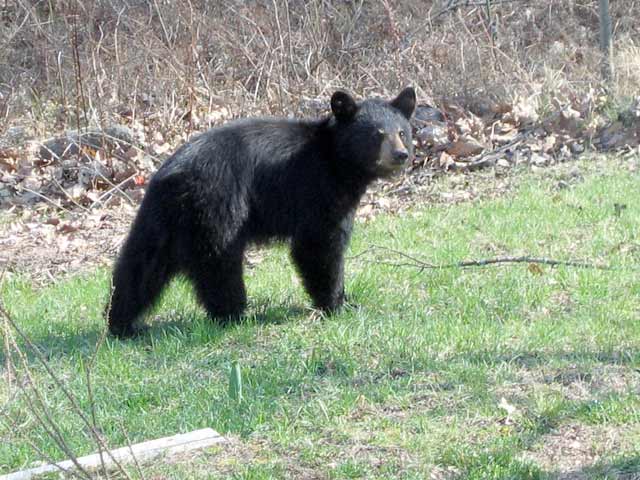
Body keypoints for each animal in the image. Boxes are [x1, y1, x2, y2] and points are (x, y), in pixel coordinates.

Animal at [107, 87, 416, 338]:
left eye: (402, 132)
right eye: (376, 134)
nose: (401, 155)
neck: (338, 161)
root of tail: (174, 177)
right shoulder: (317, 189)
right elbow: (318, 245)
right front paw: (338, 303)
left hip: (159, 220)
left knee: (140, 266)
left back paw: (122, 323)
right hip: (216, 207)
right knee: (219, 262)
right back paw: (234, 313)